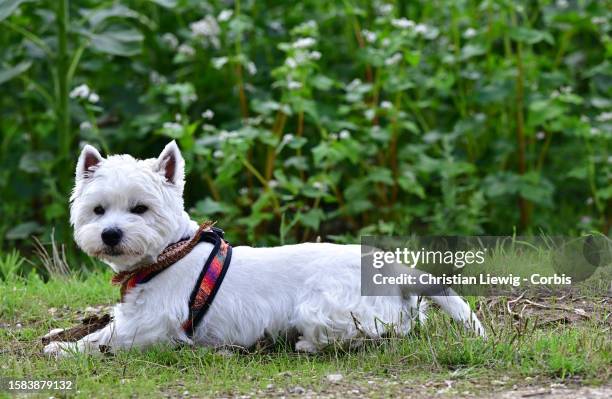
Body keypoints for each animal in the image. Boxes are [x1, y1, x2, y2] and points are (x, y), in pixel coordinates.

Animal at [43, 142, 486, 358]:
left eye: (140, 208)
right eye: (98, 209)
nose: (111, 234)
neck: (169, 253)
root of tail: (392, 269)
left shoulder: (154, 323)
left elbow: (105, 338)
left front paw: (65, 349)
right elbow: (100, 328)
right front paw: (63, 339)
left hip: (322, 309)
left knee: (368, 334)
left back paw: (305, 344)